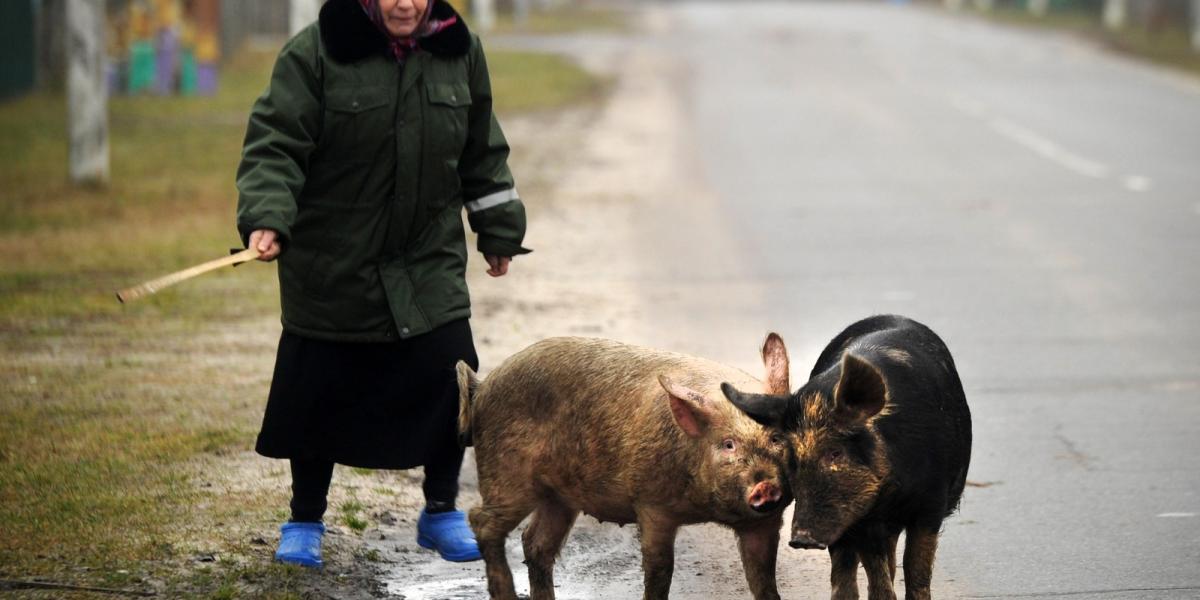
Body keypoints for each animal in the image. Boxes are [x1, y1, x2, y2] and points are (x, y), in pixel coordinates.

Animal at [720, 314, 964, 600]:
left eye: (835, 452)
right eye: (791, 458)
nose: (801, 538)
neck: (893, 489)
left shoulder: (931, 505)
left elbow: (917, 571)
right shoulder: (861, 519)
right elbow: (875, 575)